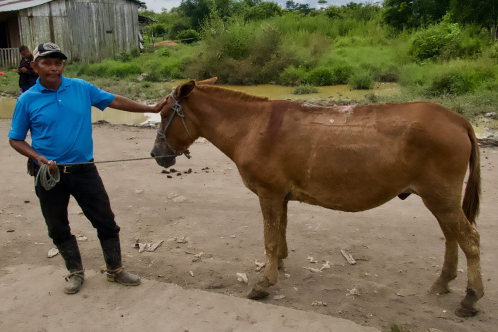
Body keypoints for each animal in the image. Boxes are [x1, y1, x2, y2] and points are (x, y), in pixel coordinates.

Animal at [151, 78, 482, 316]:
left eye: (165, 114)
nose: (156, 155)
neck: (252, 127)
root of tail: (458, 120)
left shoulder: (269, 193)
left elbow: (269, 238)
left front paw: (265, 282)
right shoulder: (281, 195)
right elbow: (280, 233)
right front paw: (279, 265)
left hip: (440, 196)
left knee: (469, 240)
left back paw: (471, 297)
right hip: (439, 198)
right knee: (451, 236)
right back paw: (443, 281)